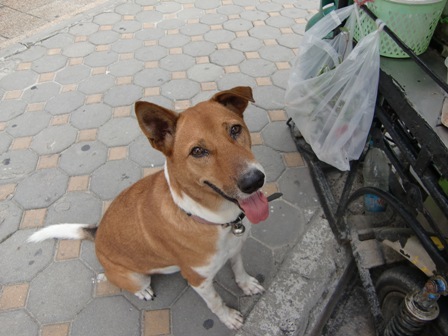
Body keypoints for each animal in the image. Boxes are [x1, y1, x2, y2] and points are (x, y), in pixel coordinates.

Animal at [29, 85, 272, 330]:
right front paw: (228, 317)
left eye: (235, 129)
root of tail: (96, 233)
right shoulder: (199, 280)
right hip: (135, 276)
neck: (213, 219)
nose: (254, 181)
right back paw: (143, 291)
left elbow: (239, 268)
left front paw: (246, 284)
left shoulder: (236, 248)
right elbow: (215, 302)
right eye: (197, 151)